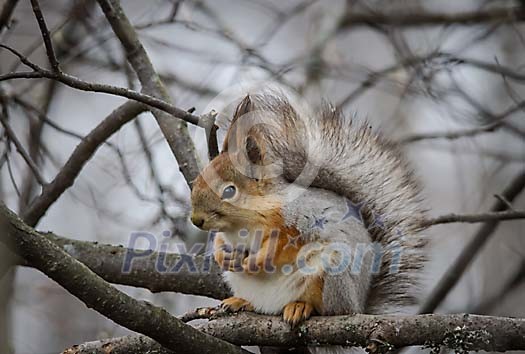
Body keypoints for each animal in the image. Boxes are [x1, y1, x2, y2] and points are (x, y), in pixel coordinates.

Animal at [190, 92, 428, 338]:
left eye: (229, 191)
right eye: (197, 181)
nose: (196, 219)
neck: (240, 225)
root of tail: (359, 304)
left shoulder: (296, 221)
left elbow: (281, 246)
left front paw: (257, 261)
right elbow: (220, 241)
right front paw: (222, 256)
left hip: (333, 273)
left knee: (327, 309)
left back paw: (300, 306)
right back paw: (240, 301)